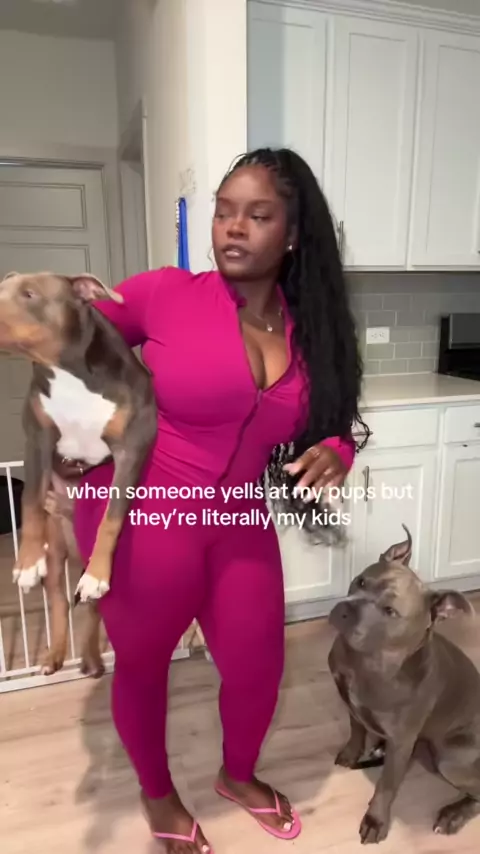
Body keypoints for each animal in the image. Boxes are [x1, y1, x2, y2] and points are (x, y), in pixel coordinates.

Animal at [0, 271, 157, 675]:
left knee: (92, 609)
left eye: (30, 294)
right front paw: (26, 564)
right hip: (55, 554)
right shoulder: (38, 439)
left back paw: (91, 658)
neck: (67, 370)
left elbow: (112, 518)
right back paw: (56, 655)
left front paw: (98, 575)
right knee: (59, 602)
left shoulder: (131, 450)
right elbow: (30, 501)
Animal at [328, 524, 480, 843]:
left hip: (450, 758)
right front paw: (351, 753)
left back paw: (452, 815)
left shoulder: (402, 741)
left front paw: (375, 821)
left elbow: (386, 787)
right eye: (360, 581)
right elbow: (356, 729)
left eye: (390, 611)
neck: (370, 660)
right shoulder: (349, 700)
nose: (343, 610)